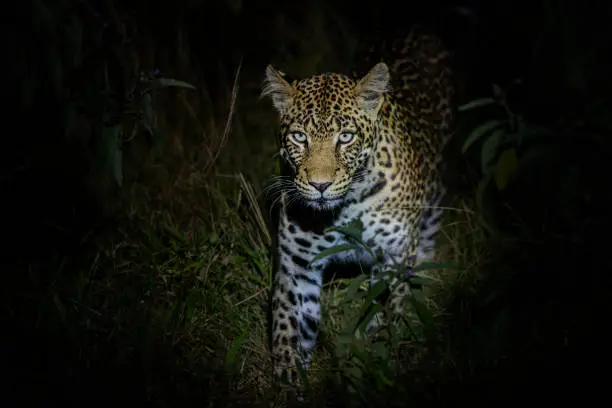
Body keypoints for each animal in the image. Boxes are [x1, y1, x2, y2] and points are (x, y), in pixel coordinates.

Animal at [260, 25, 456, 386]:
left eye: (346, 137)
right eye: (299, 137)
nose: (319, 185)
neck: (346, 208)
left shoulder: (393, 259)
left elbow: (383, 315)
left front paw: (378, 363)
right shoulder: (297, 267)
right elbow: (288, 327)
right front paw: (289, 379)